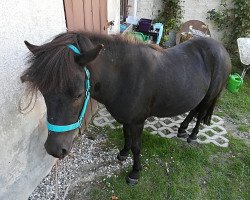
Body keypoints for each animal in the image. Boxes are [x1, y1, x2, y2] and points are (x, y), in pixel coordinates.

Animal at [20, 32, 231, 184]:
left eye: (79, 94)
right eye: (43, 92)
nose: (55, 149)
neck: (123, 76)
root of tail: (221, 48)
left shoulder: (137, 121)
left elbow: (137, 146)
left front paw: (135, 173)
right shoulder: (126, 119)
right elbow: (126, 136)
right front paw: (123, 153)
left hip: (210, 95)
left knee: (201, 113)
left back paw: (192, 135)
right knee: (195, 110)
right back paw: (182, 129)